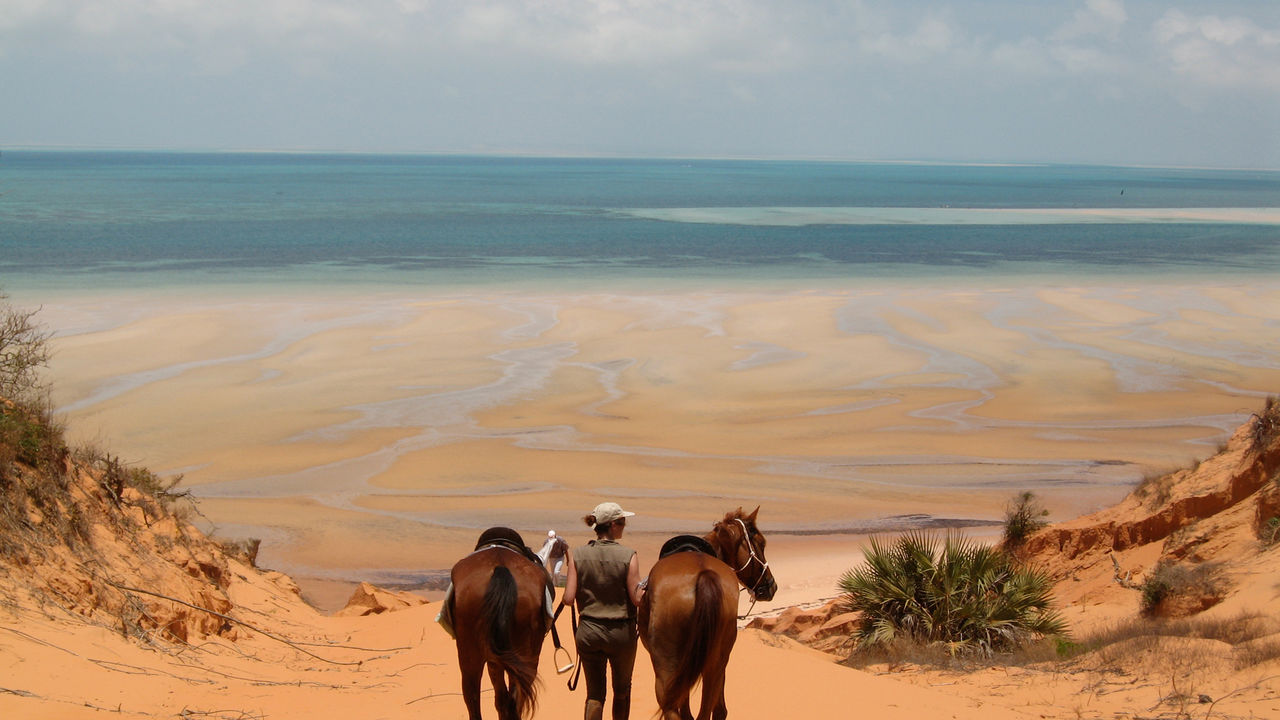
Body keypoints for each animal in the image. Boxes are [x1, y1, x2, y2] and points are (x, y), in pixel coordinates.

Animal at [637, 504, 773, 717]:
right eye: (761, 543)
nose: (771, 586)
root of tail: (704, 574)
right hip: (714, 666)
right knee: (711, 710)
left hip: (667, 671)